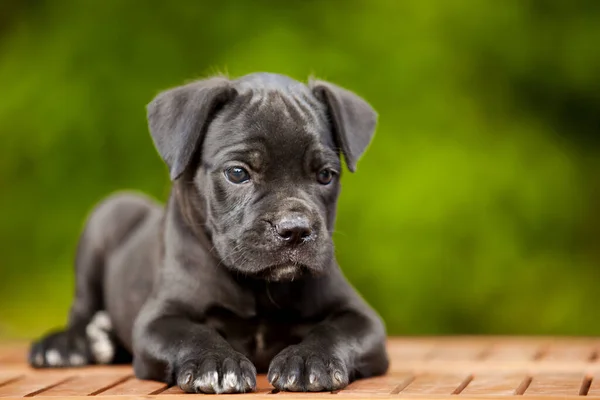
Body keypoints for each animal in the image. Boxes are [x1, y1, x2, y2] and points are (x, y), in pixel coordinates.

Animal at [29, 73, 390, 392]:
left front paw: (309, 359)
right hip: (110, 214)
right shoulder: (158, 320)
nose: (295, 230)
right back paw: (66, 344)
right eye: (237, 173)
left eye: (326, 175)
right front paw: (216, 363)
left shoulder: (363, 319)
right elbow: (191, 334)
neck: (258, 287)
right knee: (81, 308)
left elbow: (334, 332)